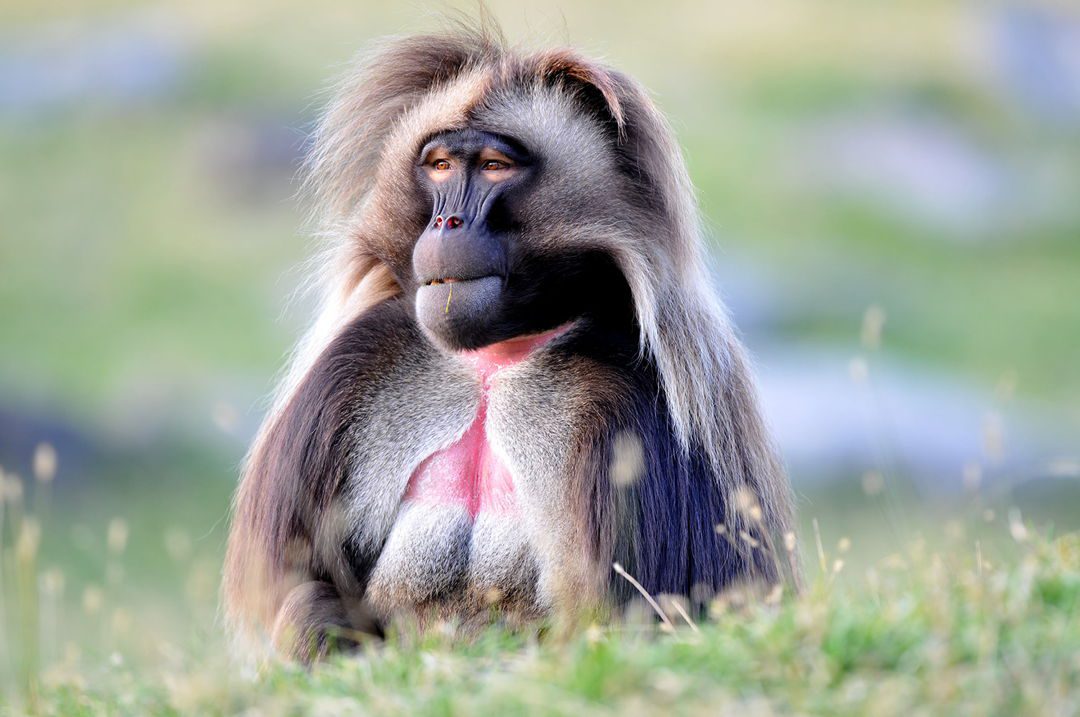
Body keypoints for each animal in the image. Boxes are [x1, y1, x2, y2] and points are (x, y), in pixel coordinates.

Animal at [223, 26, 798, 662]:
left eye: (495, 167)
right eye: (441, 165)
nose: (446, 224)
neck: (493, 365)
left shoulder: (635, 405)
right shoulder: (356, 362)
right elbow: (307, 581)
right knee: (310, 607)